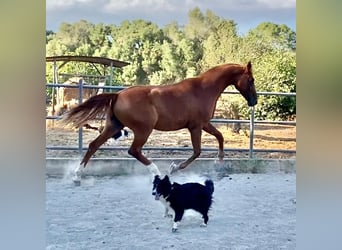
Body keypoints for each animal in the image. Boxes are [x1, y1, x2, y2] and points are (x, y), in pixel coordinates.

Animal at [61, 61, 258, 177]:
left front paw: (220, 161)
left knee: (94, 145)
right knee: (134, 151)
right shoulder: (195, 126)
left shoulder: (204, 124)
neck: (203, 89)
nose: (254, 101)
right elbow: (197, 151)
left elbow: (220, 137)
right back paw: (156, 171)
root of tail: (118, 95)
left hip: (113, 126)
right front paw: (174, 168)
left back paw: (77, 174)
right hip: (143, 129)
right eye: (251, 80)